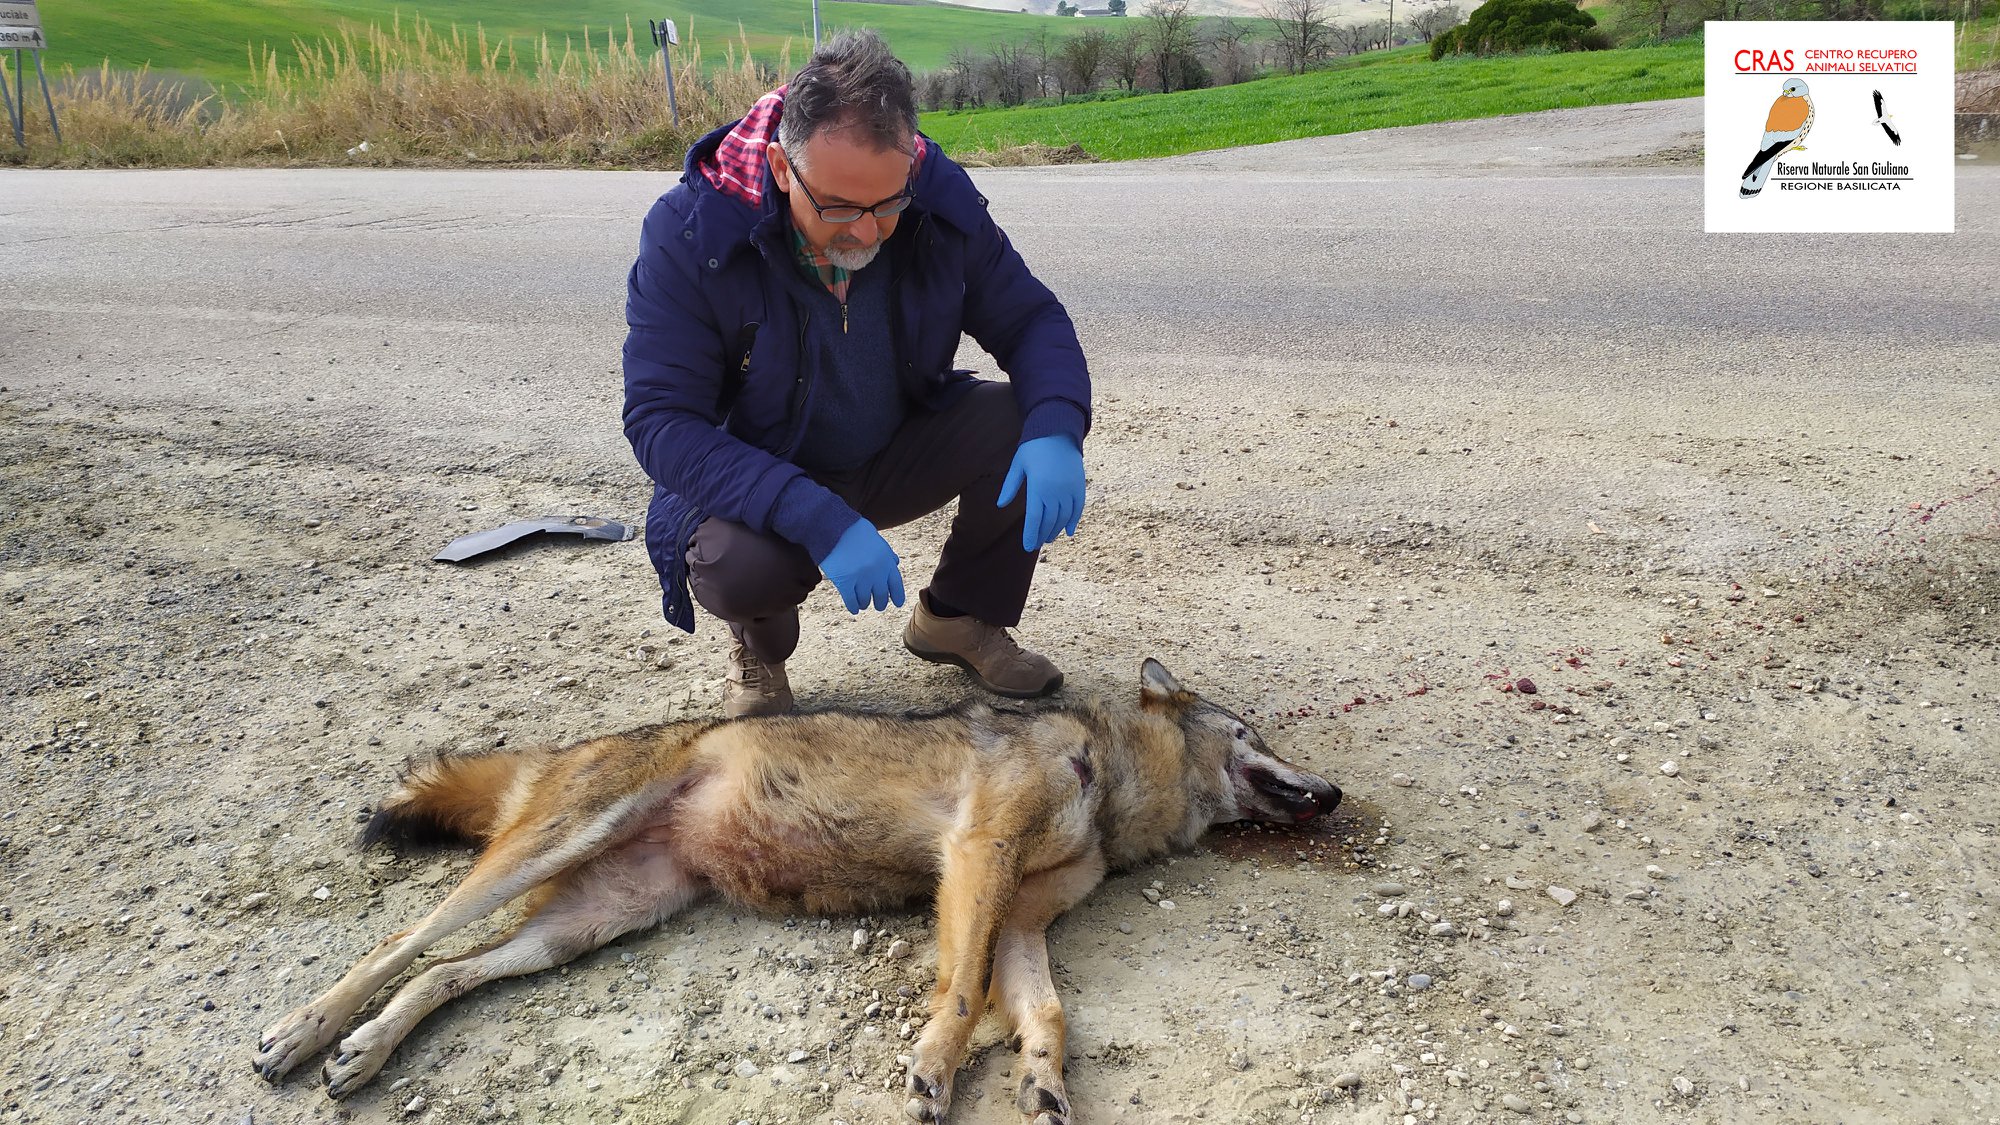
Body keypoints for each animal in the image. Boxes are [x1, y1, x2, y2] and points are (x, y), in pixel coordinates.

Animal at [254, 660, 1344, 1112]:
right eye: (1253, 733)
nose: (1334, 791)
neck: (1104, 773)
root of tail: (560, 751)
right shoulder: (977, 856)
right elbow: (961, 993)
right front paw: (936, 1068)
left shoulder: (1025, 922)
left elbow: (1045, 1014)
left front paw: (1040, 1082)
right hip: (542, 858)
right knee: (401, 945)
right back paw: (305, 1032)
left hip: (583, 927)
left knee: (444, 973)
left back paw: (363, 1052)